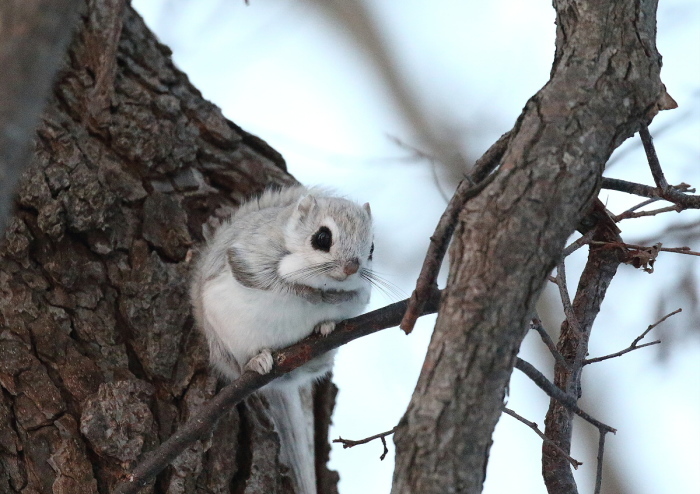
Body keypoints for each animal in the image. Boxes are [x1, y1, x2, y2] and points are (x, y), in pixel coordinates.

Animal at [191, 186, 374, 494]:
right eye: (322, 238)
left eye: (372, 249)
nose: (352, 267)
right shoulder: (251, 257)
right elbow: (277, 281)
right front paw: (310, 293)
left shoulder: (361, 295)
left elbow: (351, 297)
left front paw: (328, 317)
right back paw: (258, 360)